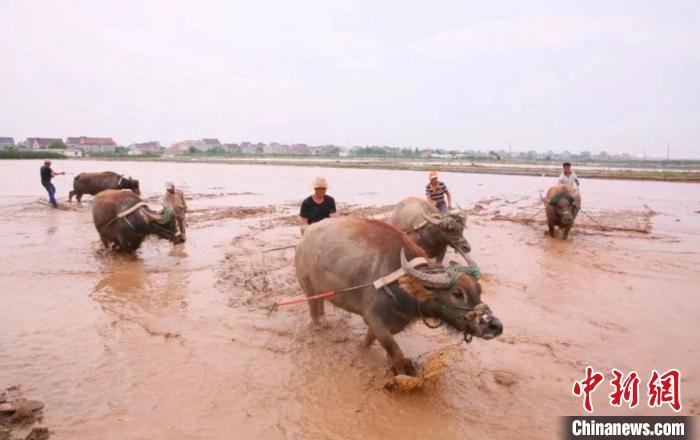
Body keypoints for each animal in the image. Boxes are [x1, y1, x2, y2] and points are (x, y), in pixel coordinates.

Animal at [292, 217, 500, 374]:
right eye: (457, 293)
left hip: (320, 289)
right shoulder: (376, 321)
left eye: (479, 290)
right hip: (307, 285)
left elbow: (372, 343)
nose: (495, 326)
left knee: (319, 304)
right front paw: (401, 376)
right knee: (312, 309)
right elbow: (397, 355)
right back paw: (318, 326)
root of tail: (305, 235)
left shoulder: (384, 325)